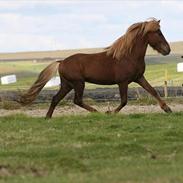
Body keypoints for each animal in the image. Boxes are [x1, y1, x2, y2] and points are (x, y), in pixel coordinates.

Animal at [19, 18, 172, 118]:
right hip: (78, 83)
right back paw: (97, 112)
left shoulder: (139, 78)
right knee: (77, 100)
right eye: (158, 32)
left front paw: (167, 109)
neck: (128, 56)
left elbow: (153, 91)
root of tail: (61, 62)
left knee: (56, 98)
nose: (168, 50)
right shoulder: (123, 82)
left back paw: (48, 117)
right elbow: (124, 100)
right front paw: (110, 112)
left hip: (67, 84)